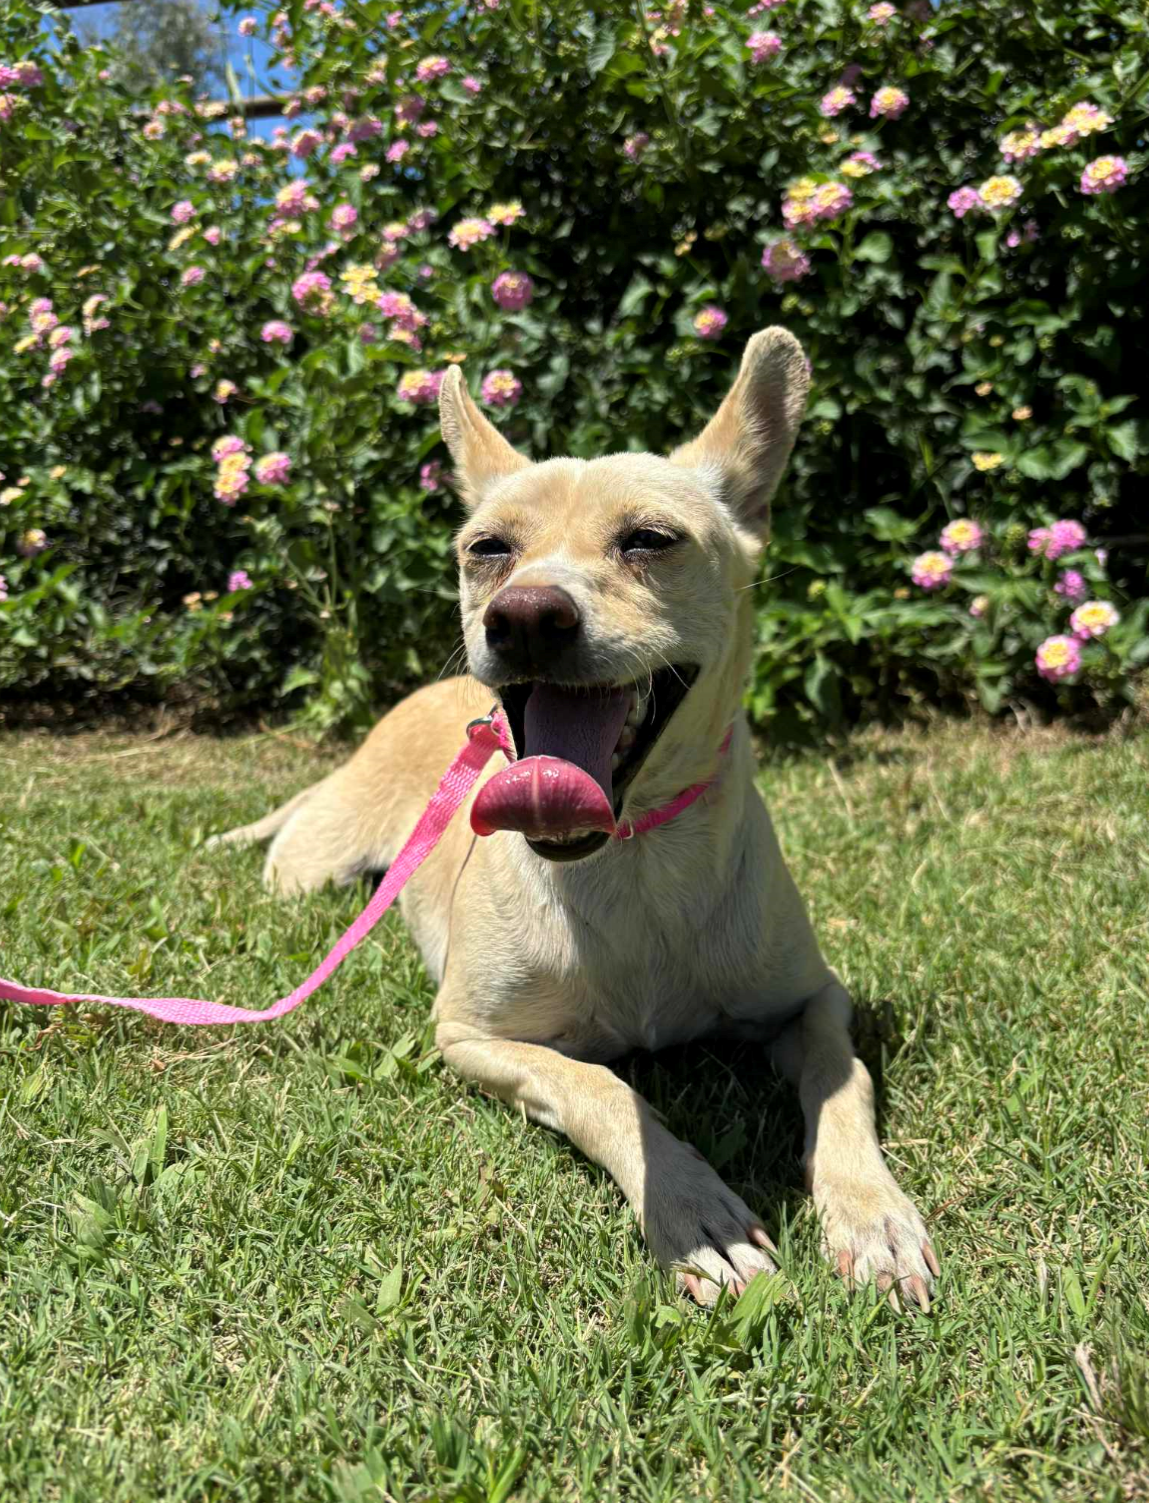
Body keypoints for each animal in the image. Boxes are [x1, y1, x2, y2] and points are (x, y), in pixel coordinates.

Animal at [210, 326, 938, 1304]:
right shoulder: (469, 1037)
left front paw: (871, 1213)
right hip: (309, 868)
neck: (630, 859)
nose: (523, 616)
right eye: (487, 548)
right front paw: (691, 1209)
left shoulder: (812, 997)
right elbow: (601, 1088)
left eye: (650, 539)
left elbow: (839, 1079)